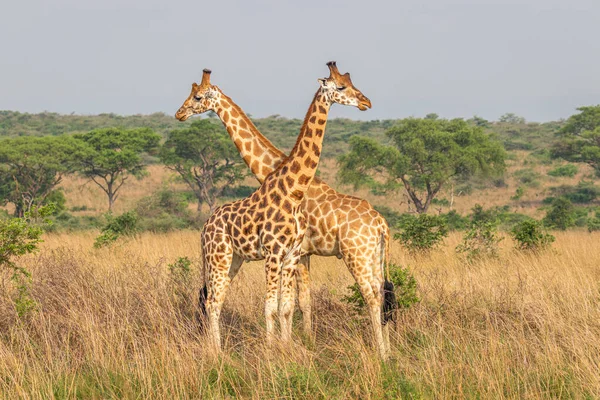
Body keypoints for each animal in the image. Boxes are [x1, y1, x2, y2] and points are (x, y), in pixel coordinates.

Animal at [176, 64, 396, 358]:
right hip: (368, 256)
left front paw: (293, 345)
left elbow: (292, 304)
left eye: (197, 97)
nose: (180, 113)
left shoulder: (297, 253)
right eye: (342, 86)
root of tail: (381, 223)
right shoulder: (295, 254)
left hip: (358, 255)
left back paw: (382, 352)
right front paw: (295, 345)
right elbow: (294, 303)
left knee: (373, 296)